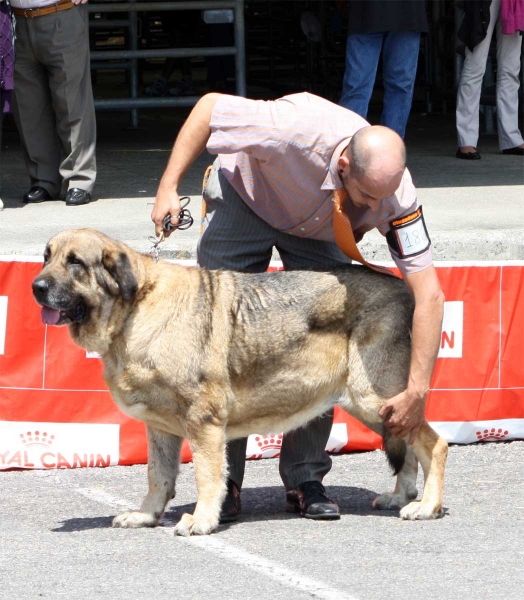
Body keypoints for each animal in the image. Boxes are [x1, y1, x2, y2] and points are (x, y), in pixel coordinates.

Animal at [32, 229, 448, 536]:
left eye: (75, 262)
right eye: (46, 256)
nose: (36, 287)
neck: (134, 310)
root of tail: (404, 290)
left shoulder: (204, 422)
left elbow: (207, 477)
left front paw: (201, 520)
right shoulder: (160, 428)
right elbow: (158, 477)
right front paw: (146, 516)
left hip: (373, 399)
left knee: (434, 443)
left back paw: (427, 506)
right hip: (380, 407)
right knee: (410, 446)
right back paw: (402, 497)